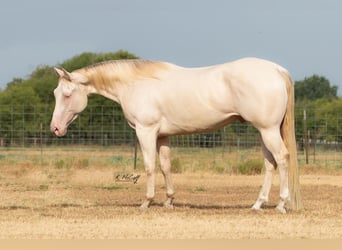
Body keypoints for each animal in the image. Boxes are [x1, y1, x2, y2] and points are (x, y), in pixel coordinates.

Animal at [50, 57, 302, 212]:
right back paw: (258, 204)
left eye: (67, 94)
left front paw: (147, 202)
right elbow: (165, 166)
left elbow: (149, 166)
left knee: (282, 158)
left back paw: (281, 204)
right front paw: (169, 201)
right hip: (265, 132)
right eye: (55, 92)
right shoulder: (163, 136)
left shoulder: (146, 131)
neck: (136, 84)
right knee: (270, 164)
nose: (55, 128)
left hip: (268, 130)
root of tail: (277, 70)